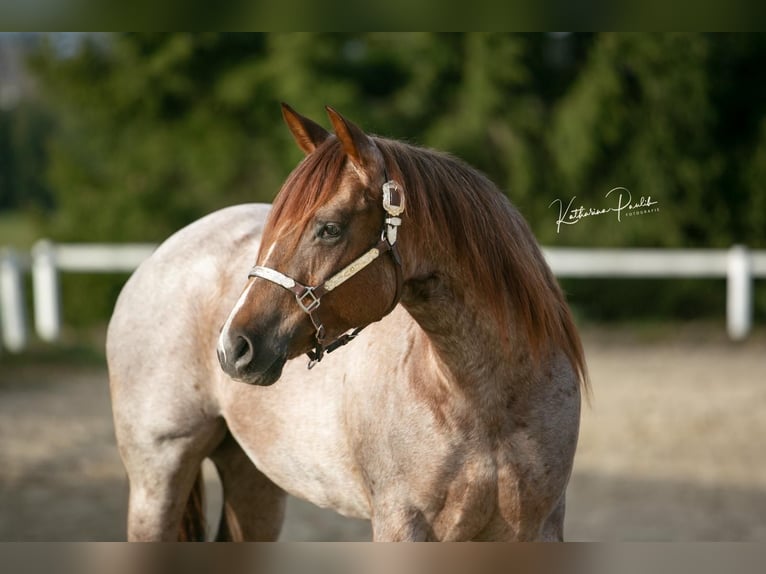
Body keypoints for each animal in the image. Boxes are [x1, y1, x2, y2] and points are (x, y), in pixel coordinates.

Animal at [106, 104, 588, 544]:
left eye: (330, 229)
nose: (233, 347)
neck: (485, 402)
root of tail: (158, 256)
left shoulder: (536, 529)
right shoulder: (401, 524)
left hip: (254, 478)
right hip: (157, 477)